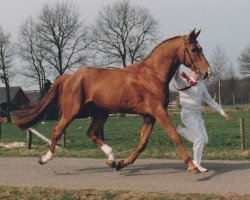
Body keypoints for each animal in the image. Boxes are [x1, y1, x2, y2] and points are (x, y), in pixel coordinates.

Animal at [14, 29, 211, 173]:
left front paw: (121, 163)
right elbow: (175, 136)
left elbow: (142, 144)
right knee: (57, 131)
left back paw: (111, 158)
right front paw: (192, 166)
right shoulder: (159, 112)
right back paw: (45, 158)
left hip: (101, 112)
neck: (153, 74)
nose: (207, 72)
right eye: (195, 49)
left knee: (91, 133)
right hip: (71, 112)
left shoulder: (149, 116)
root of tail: (69, 76)